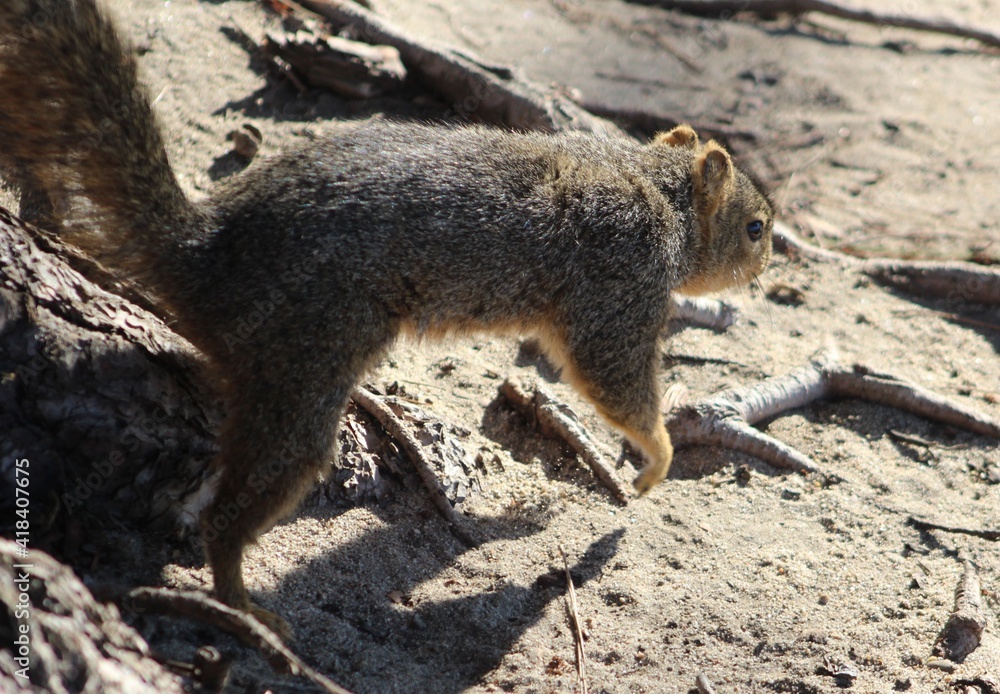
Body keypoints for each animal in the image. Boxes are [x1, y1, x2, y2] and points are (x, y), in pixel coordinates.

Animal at [0, 0, 773, 637]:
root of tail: (203, 255)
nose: (767, 266)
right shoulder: (621, 280)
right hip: (302, 366)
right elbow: (614, 377)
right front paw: (656, 459)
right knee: (228, 516)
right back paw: (244, 607)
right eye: (757, 228)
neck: (654, 184)